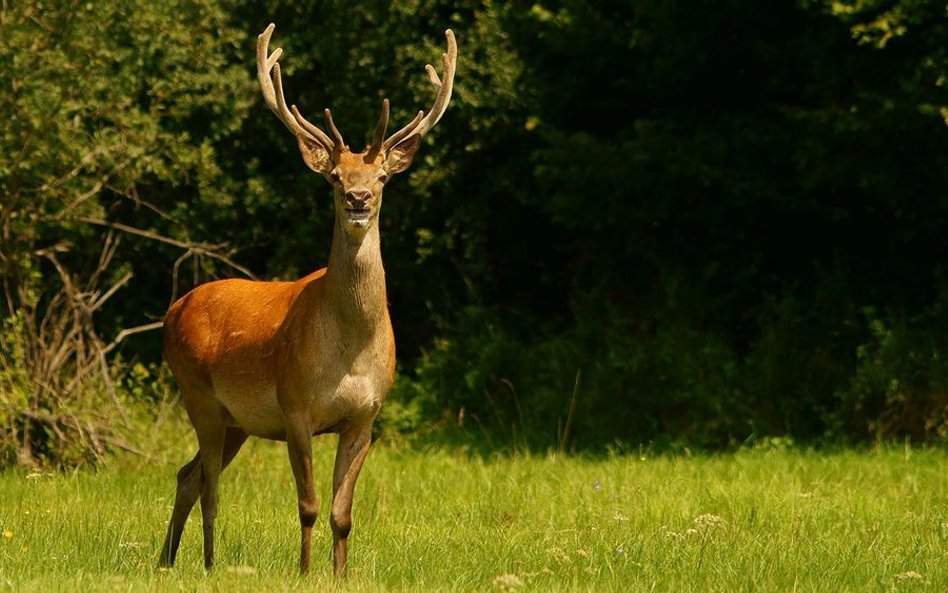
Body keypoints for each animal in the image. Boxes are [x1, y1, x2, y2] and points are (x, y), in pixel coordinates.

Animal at [157, 22, 458, 572]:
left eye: (382, 176)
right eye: (335, 177)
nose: (358, 199)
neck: (350, 350)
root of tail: (173, 309)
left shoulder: (365, 416)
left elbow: (342, 514)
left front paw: (339, 575)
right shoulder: (295, 406)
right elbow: (309, 506)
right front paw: (303, 571)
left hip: (236, 421)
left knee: (188, 476)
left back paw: (167, 561)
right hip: (197, 393)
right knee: (208, 485)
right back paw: (206, 564)